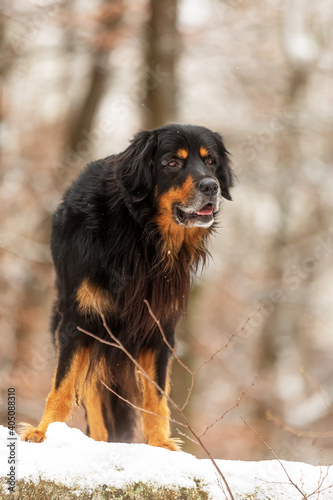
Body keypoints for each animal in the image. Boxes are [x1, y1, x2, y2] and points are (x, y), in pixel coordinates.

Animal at [20, 124, 233, 450]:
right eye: (172, 163)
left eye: (210, 161)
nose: (212, 186)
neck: (140, 235)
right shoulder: (80, 321)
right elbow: (62, 385)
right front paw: (42, 432)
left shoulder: (159, 328)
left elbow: (155, 396)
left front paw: (160, 444)